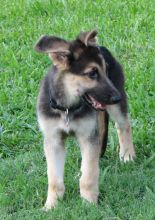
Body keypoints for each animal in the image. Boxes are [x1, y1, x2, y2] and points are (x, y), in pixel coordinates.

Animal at [34, 29, 136, 210]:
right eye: (92, 74)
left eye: (105, 70)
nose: (116, 97)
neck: (68, 107)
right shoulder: (53, 139)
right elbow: (54, 178)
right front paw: (51, 205)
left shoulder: (88, 136)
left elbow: (88, 175)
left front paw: (88, 204)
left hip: (117, 109)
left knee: (124, 125)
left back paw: (127, 155)